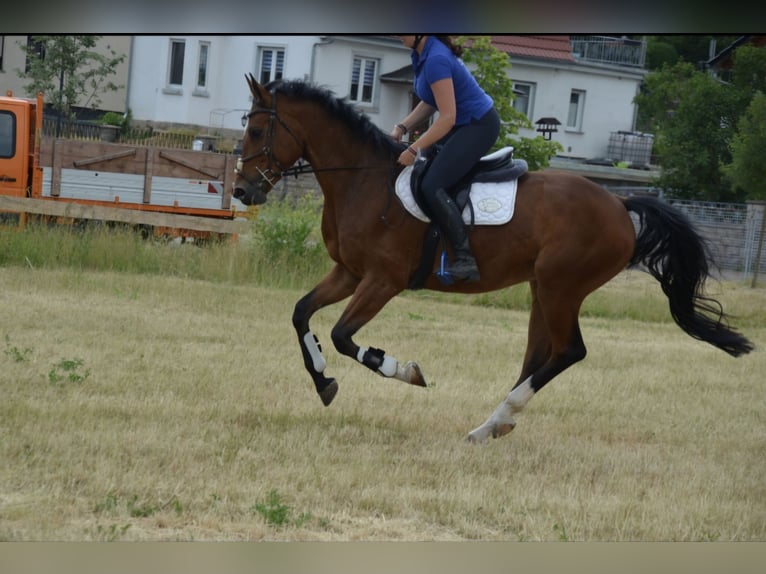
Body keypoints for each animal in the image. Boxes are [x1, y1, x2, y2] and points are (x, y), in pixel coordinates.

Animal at [234, 75, 756, 446]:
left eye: (257, 130)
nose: (241, 191)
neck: (362, 180)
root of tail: (618, 203)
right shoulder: (348, 273)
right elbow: (301, 313)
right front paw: (323, 381)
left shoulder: (383, 280)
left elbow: (344, 336)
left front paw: (404, 371)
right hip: (543, 289)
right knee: (539, 355)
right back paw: (492, 425)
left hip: (561, 286)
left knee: (568, 352)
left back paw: (497, 419)